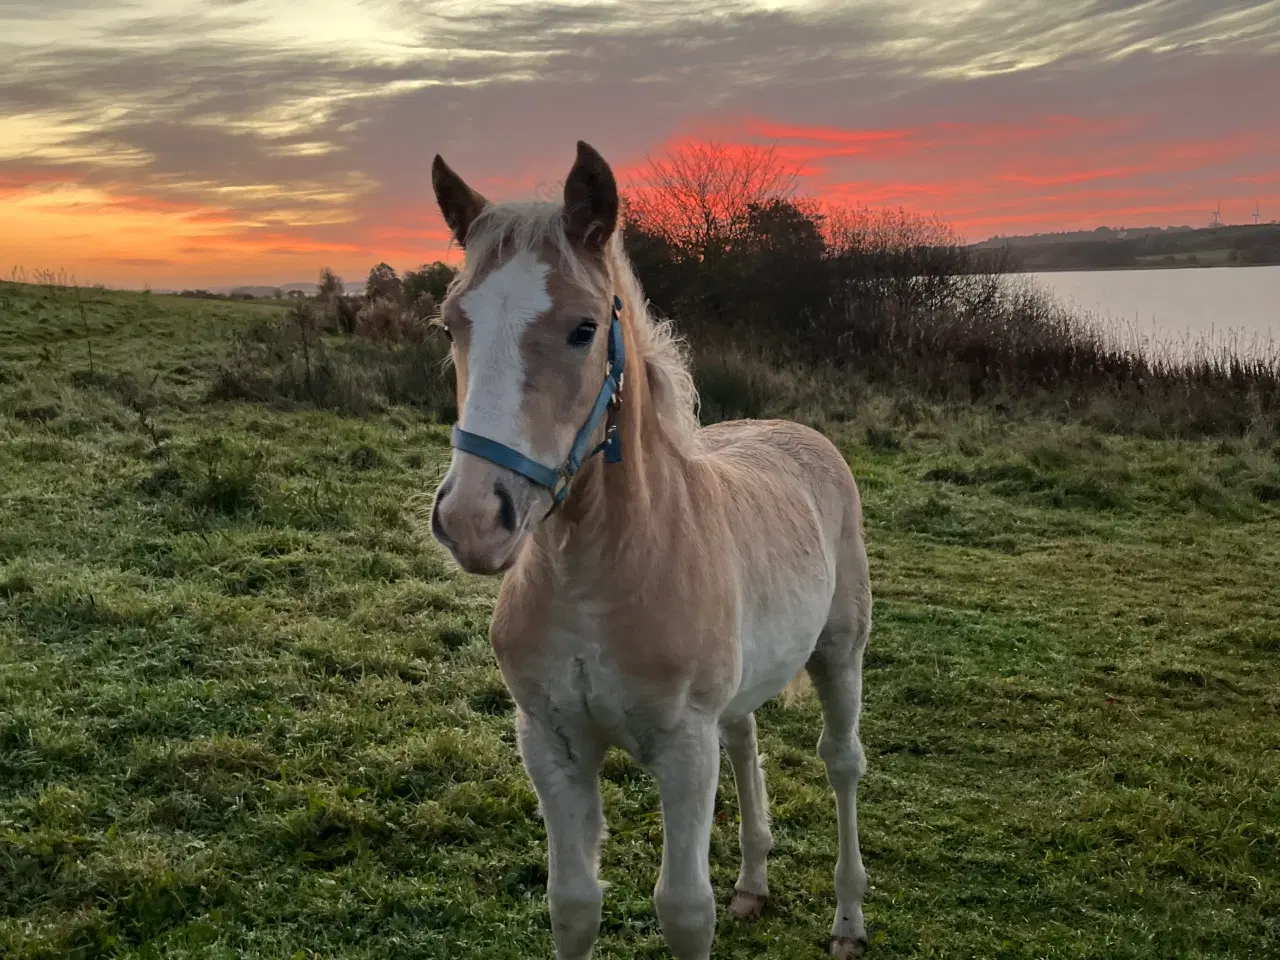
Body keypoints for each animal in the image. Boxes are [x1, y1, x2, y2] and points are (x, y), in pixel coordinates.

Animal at [427, 142, 870, 960]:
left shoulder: (683, 750)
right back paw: (754, 882)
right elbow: (572, 903)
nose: (474, 519)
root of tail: (801, 434)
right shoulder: (552, 743)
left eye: (582, 328)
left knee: (842, 762)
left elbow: (684, 909)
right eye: (450, 327)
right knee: (746, 737)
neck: (597, 575)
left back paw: (849, 920)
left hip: (841, 651)